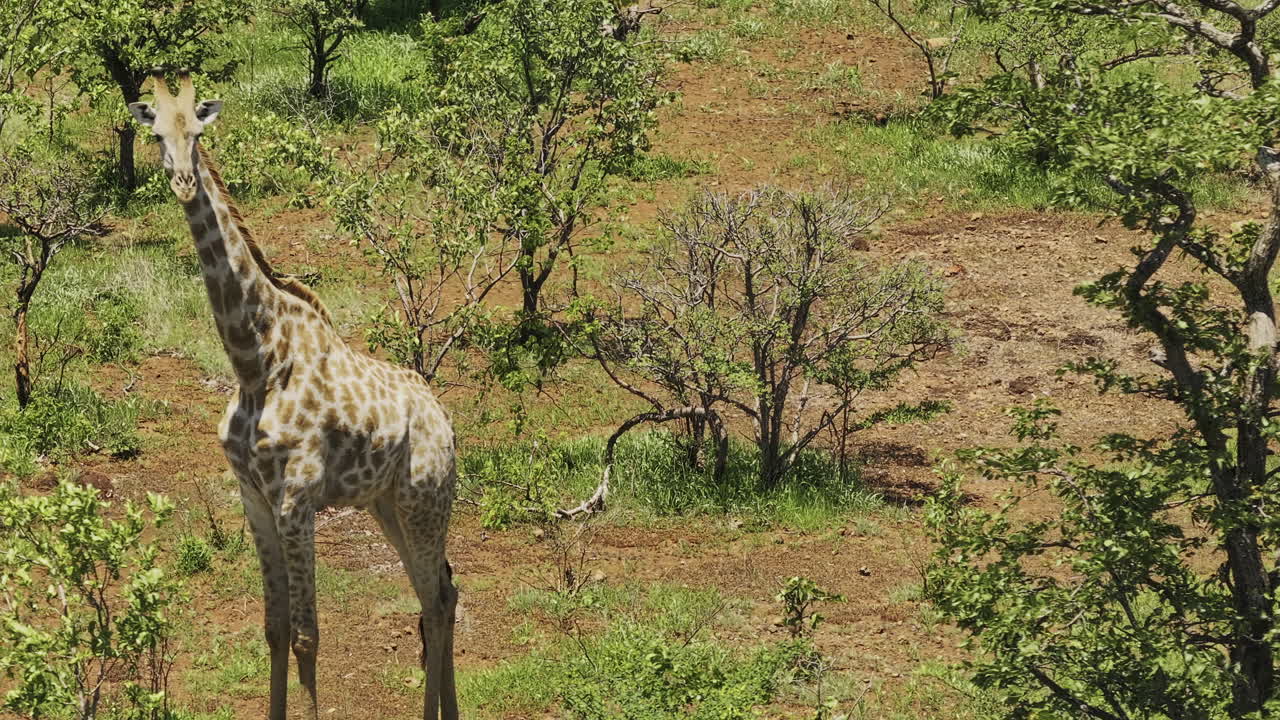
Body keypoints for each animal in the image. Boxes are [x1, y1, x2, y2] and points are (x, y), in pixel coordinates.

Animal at [127, 71, 459, 720]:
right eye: (155, 132)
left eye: (198, 131)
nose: (182, 181)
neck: (256, 361)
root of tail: (447, 424)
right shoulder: (253, 497)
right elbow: (275, 629)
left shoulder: (297, 498)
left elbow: (308, 636)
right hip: (387, 505)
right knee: (441, 593)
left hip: (424, 500)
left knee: (435, 600)